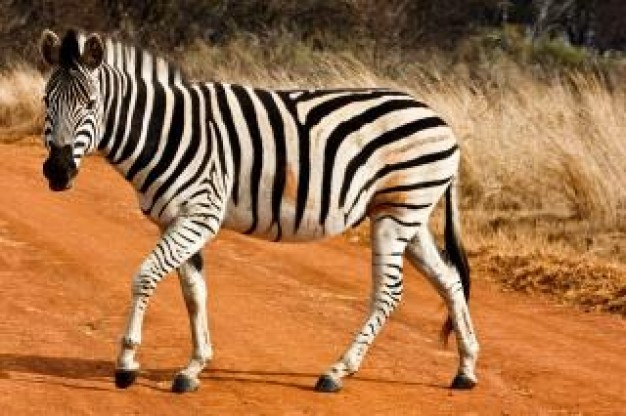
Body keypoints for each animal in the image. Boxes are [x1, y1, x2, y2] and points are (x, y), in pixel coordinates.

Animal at [39, 29, 478, 394]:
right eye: (46, 102)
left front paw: (127, 364)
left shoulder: (200, 213)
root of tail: (439, 119)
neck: (164, 131)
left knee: (389, 291)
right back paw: (466, 370)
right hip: (407, 213)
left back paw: (337, 372)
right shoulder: (176, 219)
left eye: (91, 104)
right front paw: (194, 367)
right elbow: (193, 292)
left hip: (398, 213)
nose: (57, 172)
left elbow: (145, 277)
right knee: (450, 279)